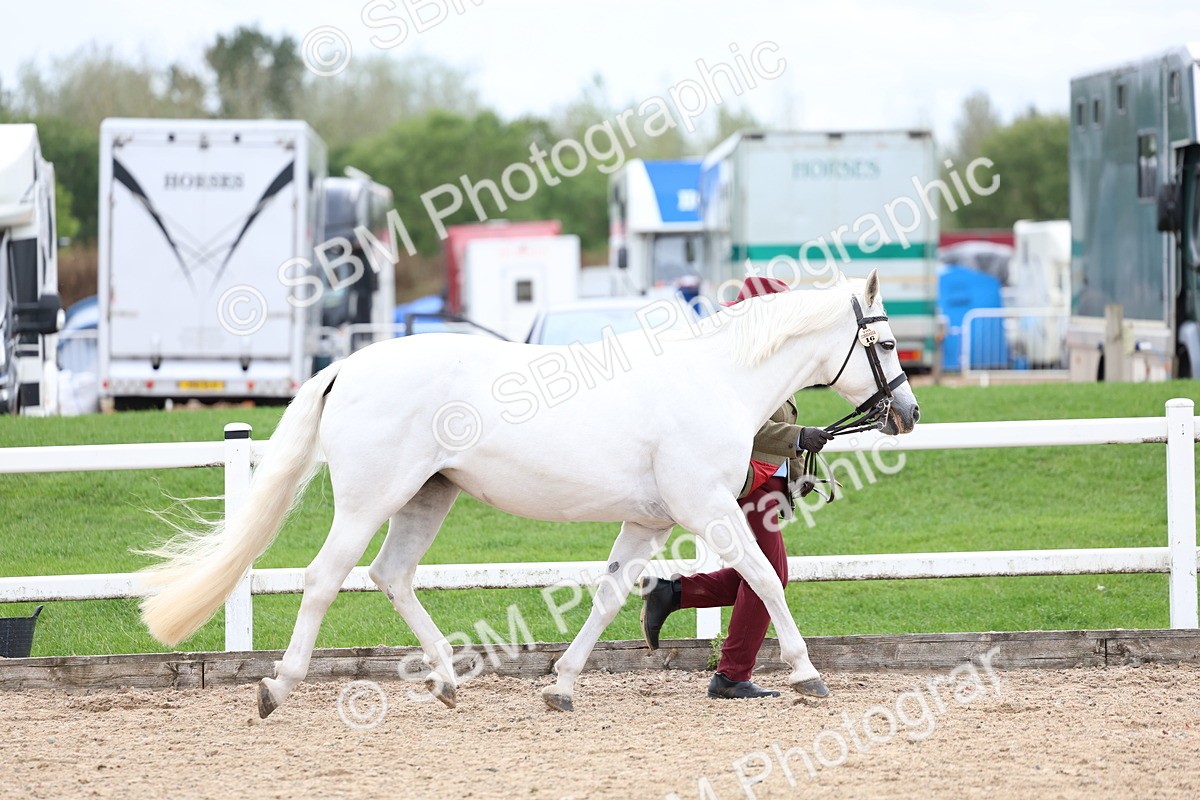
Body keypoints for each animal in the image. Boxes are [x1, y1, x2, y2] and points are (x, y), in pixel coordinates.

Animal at [138, 269, 919, 717]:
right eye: (882, 342)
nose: (908, 413)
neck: (717, 378)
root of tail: (346, 367)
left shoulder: (648, 522)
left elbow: (610, 596)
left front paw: (562, 685)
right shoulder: (707, 509)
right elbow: (763, 576)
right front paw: (807, 673)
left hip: (427, 497)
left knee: (392, 575)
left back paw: (448, 682)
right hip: (369, 501)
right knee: (325, 578)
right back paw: (278, 687)